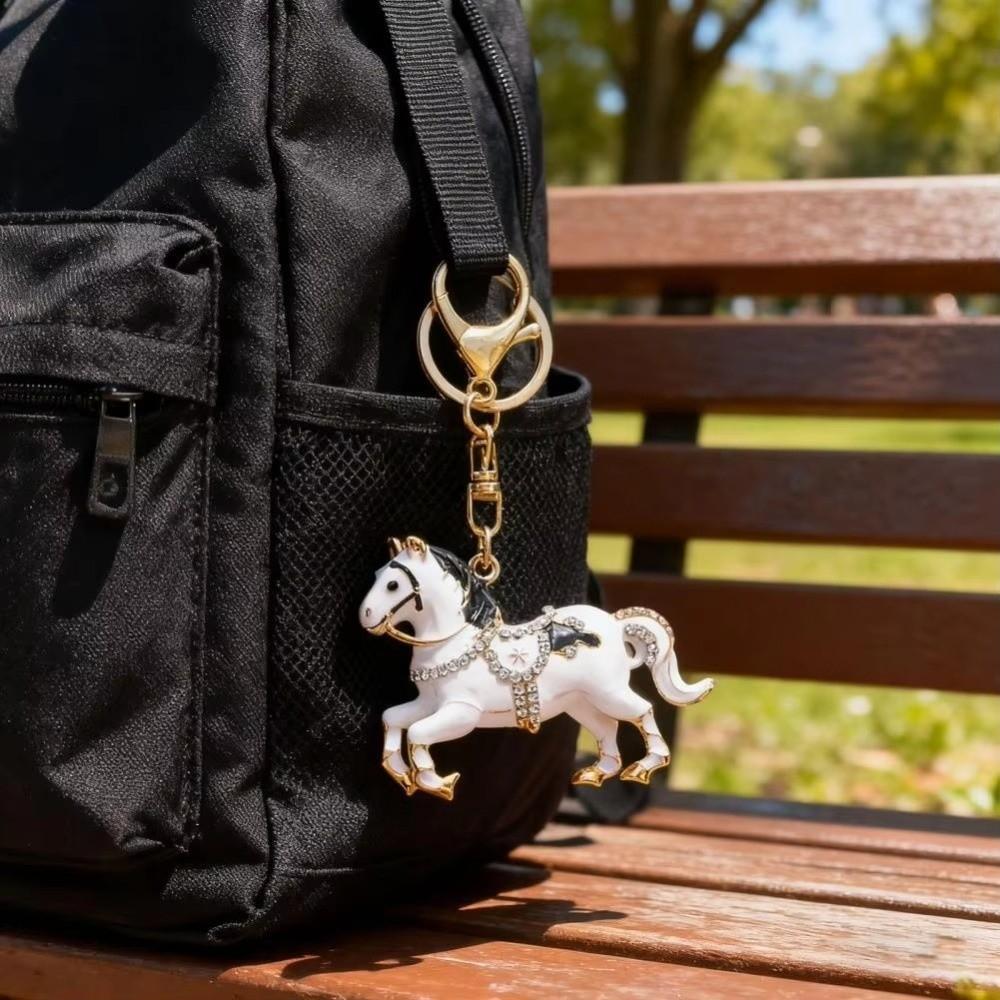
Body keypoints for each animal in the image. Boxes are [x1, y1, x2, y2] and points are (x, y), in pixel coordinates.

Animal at [360, 535, 714, 801]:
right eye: (376, 575)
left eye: (393, 585)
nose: (366, 616)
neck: (455, 642)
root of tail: (614, 625)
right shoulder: (429, 703)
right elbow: (392, 718)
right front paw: (401, 773)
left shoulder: (462, 712)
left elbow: (417, 732)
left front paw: (436, 782)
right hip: (579, 701)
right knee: (606, 727)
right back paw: (595, 773)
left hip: (607, 692)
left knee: (642, 711)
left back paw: (643, 767)